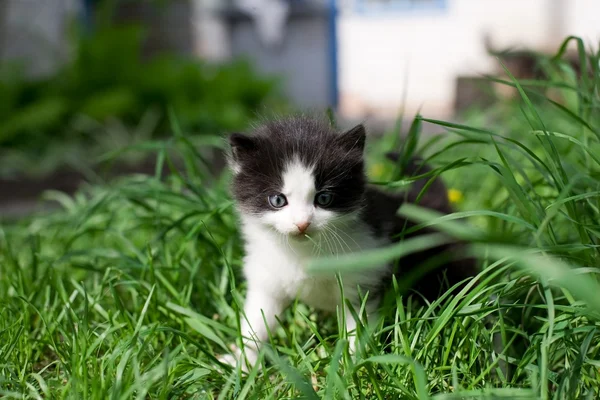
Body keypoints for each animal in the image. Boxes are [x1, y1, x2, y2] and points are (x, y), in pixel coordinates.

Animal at [221, 115, 478, 372]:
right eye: (277, 200)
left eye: (324, 198)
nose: (302, 223)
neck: (304, 252)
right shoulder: (266, 278)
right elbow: (256, 323)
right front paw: (241, 363)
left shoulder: (363, 277)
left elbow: (358, 327)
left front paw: (354, 367)